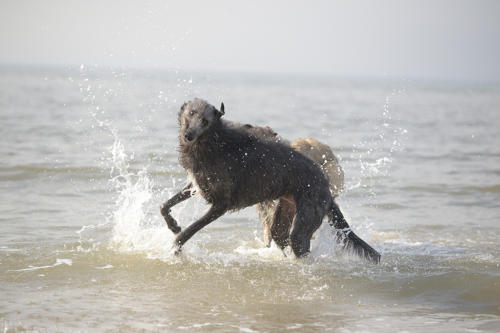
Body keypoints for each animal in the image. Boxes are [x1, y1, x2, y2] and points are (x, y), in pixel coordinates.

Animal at [162, 98, 380, 262]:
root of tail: (325, 184)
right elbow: (165, 205)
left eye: (205, 121)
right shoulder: (198, 185)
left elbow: (191, 229)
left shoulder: (221, 205)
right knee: (280, 237)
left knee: (299, 245)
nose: (188, 135)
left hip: (304, 221)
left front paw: (175, 246)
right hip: (284, 215)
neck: (215, 142)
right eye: (191, 113)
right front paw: (173, 225)